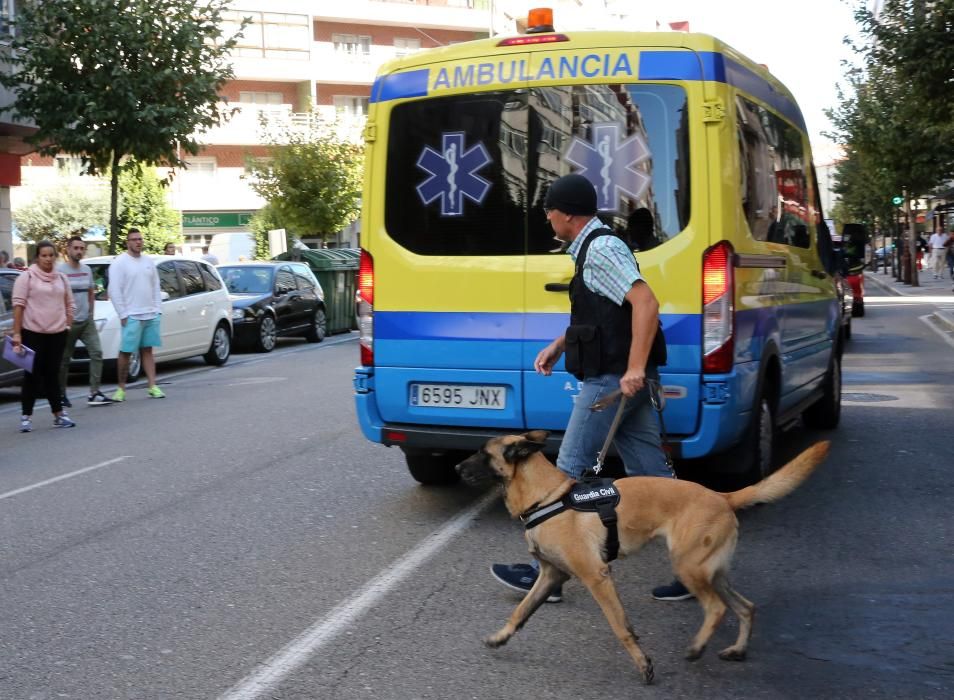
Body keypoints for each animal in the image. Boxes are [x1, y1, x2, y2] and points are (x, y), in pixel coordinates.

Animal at [454, 432, 824, 684]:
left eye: (482, 454)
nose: (457, 466)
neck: (547, 498)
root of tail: (722, 496)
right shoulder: (551, 575)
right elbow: (520, 611)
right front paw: (501, 637)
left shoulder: (597, 577)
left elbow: (621, 627)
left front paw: (643, 664)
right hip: (712, 573)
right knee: (746, 607)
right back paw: (738, 650)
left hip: (689, 568)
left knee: (717, 608)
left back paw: (696, 648)